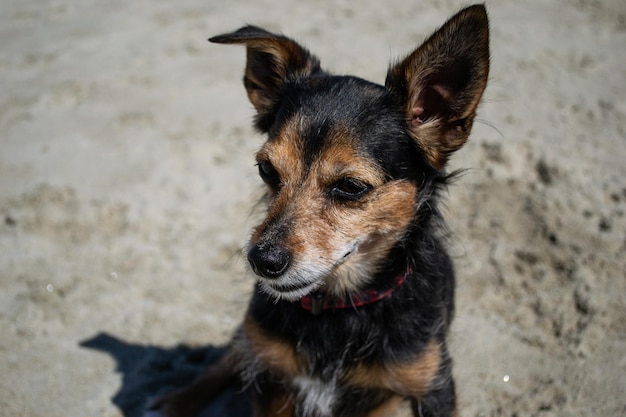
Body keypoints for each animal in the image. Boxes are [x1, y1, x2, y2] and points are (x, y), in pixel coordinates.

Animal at [155, 4, 488, 416]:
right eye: (266, 170)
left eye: (351, 187)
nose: (262, 260)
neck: (339, 307)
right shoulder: (270, 378)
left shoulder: (432, 388)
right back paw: (176, 400)